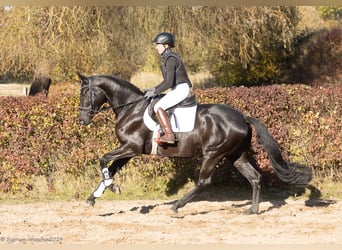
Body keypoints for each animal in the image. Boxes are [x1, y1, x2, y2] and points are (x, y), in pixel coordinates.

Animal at [77, 72, 312, 213]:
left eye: (85, 92)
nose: (81, 119)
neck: (130, 108)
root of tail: (242, 117)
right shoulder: (129, 152)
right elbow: (110, 168)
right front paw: (95, 196)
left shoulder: (130, 148)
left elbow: (103, 160)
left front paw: (111, 187)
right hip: (236, 156)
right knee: (254, 178)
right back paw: (252, 210)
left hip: (213, 154)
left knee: (203, 182)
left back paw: (177, 206)